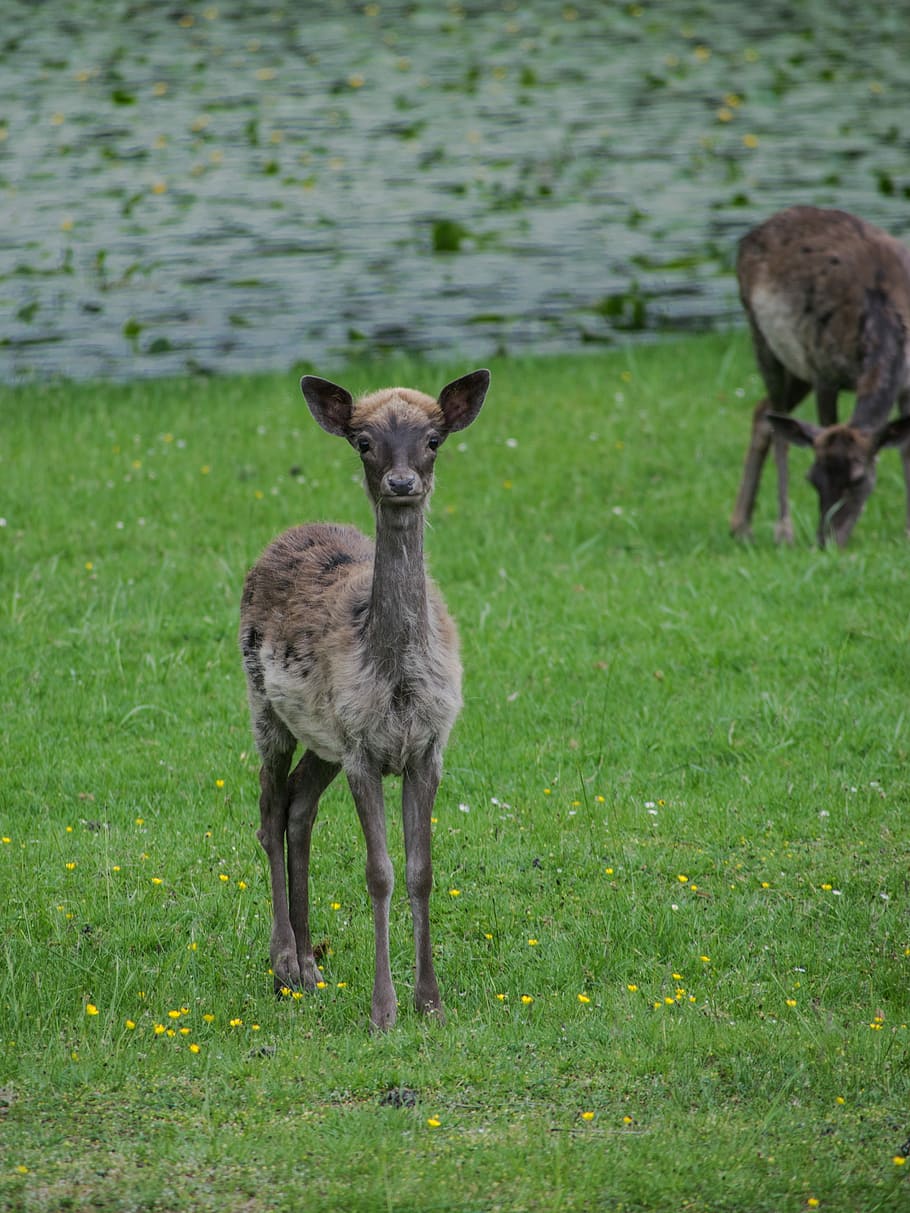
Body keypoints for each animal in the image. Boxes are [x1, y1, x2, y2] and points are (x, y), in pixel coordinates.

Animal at [239, 368, 490, 1030]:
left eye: (433, 440)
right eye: (364, 441)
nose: (401, 483)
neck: (395, 679)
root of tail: (289, 533)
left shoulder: (426, 746)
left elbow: (421, 871)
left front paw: (431, 1002)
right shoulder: (360, 748)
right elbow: (379, 872)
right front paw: (384, 1010)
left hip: (322, 735)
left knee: (298, 806)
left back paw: (309, 963)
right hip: (264, 707)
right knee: (269, 812)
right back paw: (284, 962)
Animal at [729, 205, 910, 547]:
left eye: (859, 479)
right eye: (813, 478)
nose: (826, 542)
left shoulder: (906, 385)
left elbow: (906, 449)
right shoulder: (825, 372)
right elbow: (827, 424)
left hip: (797, 367)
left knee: (763, 412)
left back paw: (740, 526)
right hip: (763, 338)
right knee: (779, 424)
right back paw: (781, 530)